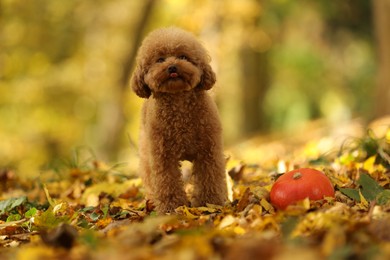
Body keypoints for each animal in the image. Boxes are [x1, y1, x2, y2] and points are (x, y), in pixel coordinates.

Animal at [131, 26, 229, 213]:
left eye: (183, 56)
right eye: (160, 59)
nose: (172, 67)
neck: (179, 102)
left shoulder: (208, 150)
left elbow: (210, 177)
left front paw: (210, 202)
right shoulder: (163, 156)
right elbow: (167, 182)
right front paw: (171, 207)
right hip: (147, 153)